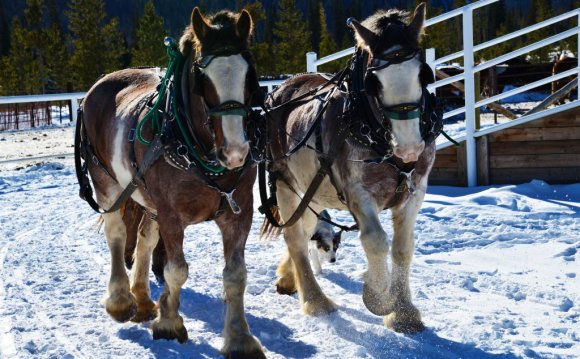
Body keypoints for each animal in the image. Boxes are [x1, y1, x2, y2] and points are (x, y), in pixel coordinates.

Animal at [76, 7, 266, 358]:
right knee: (117, 234)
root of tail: (100, 85)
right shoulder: (171, 215)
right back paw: (121, 300)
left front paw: (239, 338)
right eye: (202, 78)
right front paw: (169, 324)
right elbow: (176, 271)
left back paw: (142, 298)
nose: (236, 152)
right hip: (106, 181)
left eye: (250, 74)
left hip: (146, 197)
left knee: (145, 238)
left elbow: (235, 276)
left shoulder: (239, 213)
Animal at [260, 2, 440, 334]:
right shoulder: (358, 193)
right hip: (285, 183)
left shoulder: (414, 193)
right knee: (295, 238)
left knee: (305, 228)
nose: (409, 148)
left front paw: (405, 314)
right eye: (373, 82)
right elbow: (376, 241)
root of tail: (282, 88)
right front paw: (379, 298)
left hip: (312, 191)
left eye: (424, 75)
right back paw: (315, 300)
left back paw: (288, 278)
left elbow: (403, 248)